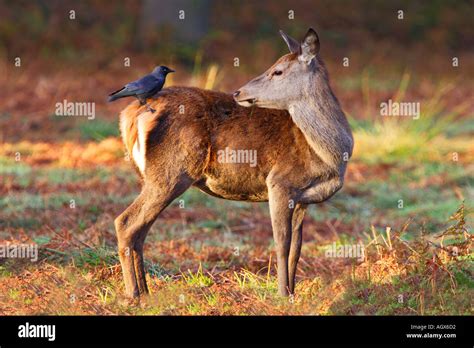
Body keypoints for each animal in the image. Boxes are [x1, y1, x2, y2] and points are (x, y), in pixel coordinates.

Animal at [115, 27, 352, 300]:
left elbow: (297, 249)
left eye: (278, 71)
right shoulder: (279, 182)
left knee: (140, 230)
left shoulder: (304, 199)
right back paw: (133, 294)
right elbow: (281, 244)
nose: (238, 92)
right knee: (126, 222)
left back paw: (145, 291)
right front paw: (282, 294)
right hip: (170, 172)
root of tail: (128, 116)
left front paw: (293, 292)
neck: (329, 156)